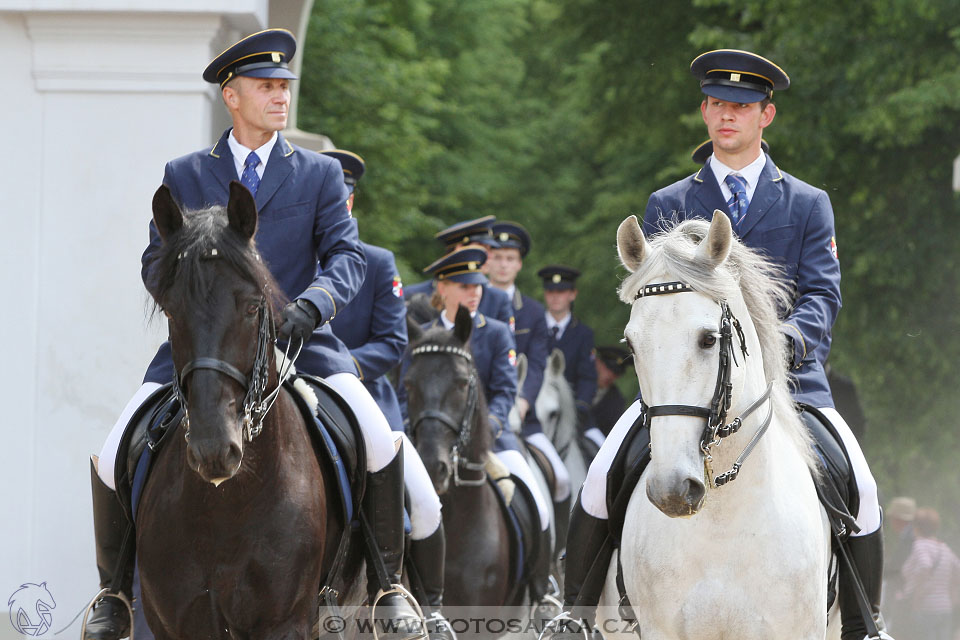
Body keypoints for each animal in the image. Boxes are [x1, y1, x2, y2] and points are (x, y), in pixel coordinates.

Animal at [133, 182, 362, 636]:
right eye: (170, 311)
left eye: (254, 307)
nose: (213, 450)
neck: (228, 504)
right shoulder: (177, 623)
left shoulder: (284, 622)